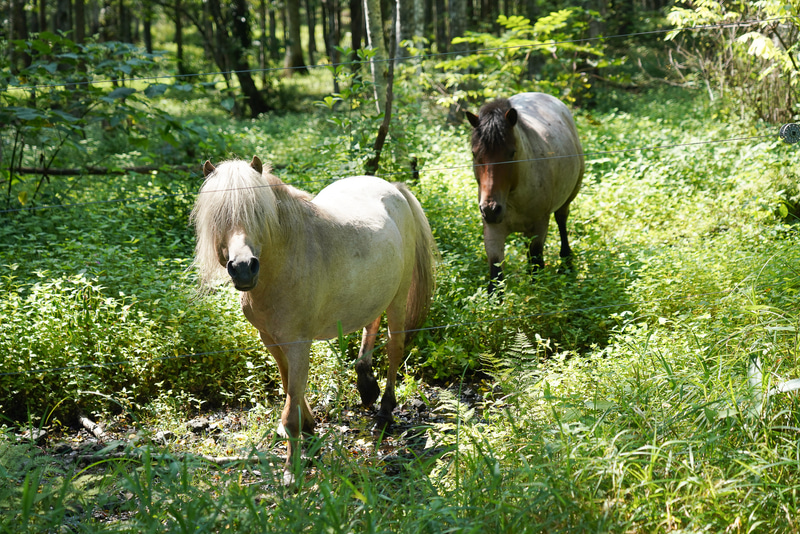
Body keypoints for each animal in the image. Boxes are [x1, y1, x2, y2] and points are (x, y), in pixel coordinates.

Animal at [466, 92, 584, 294]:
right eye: (475, 154)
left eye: (511, 153)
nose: (491, 209)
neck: (512, 197)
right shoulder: (492, 231)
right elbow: (496, 280)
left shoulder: (539, 228)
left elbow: (535, 266)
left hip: (568, 198)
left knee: (562, 221)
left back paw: (566, 263)